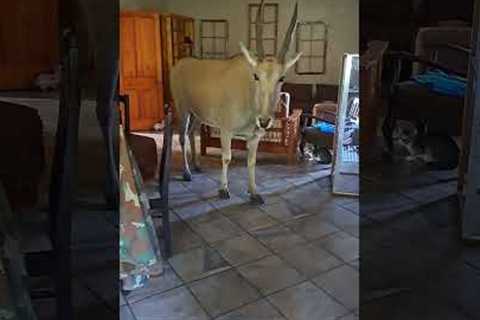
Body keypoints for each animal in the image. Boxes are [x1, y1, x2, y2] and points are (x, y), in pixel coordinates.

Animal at [171, 0, 302, 204]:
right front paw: (223, 189)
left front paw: (254, 192)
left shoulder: (254, 137)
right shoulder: (226, 131)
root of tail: (179, 65)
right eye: (256, 75)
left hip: (198, 115)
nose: (264, 121)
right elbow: (226, 157)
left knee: (192, 133)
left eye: (281, 78)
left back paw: (197, 165)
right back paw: (186, 173)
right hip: (183, 109)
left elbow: (251, 161)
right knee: (182, 136)